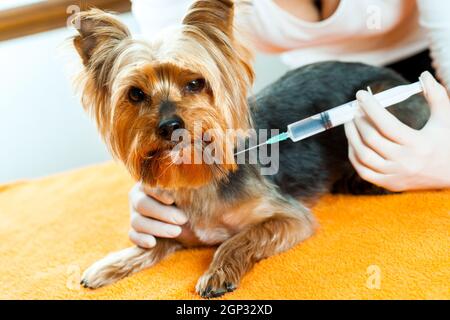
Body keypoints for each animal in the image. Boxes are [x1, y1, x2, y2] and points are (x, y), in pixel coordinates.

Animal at [74, 0, 428, 298]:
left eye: (195, 83)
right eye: (135, 94)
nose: (170, 125)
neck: (197, 177)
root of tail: (399, 79)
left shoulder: (289, 218)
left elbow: (237, 239)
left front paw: (217, 273)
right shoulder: (172, 221)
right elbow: (153, 240)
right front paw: (110, 264)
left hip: (377, 104)